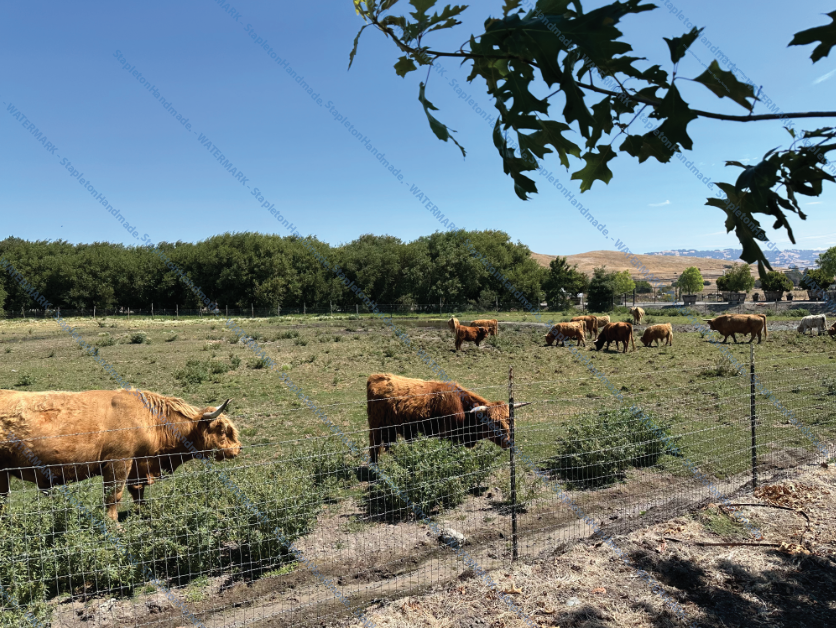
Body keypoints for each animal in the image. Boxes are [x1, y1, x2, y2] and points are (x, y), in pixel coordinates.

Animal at [0, 390, 240, 520]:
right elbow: (113, 497)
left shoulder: (137, 466)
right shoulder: (118, 463)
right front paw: (114, 526)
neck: (151, 420)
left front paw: (143, 513)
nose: (239, 448)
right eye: (222, 430)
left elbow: (137, 492)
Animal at [366, 373, 529, 464]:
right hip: (376, 428)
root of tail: (376, 377)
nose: (509, 442)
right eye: (492, 422)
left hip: (390, 430)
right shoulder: (446, 436)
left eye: (509, 420)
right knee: (374, 448)